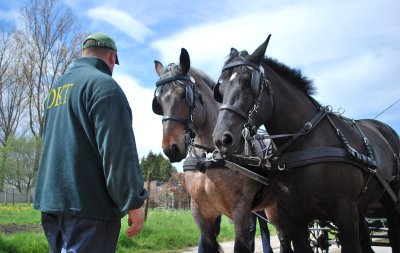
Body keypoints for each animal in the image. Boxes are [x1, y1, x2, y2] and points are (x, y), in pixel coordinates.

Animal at [152, 48, 292, 252]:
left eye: (183, 94)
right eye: (158, 101)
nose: (171, 148)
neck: (209, 159)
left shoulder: (241, 210)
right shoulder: (201, 213)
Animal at [212, 36, 400, 253]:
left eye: (246, 82)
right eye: (221, 89)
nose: (221, 139)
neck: (303, 147)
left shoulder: (345, 212)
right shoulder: (293, 218)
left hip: (391, 198)